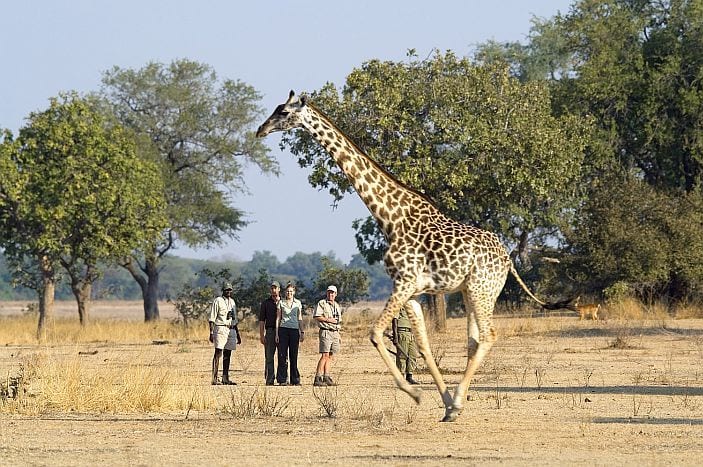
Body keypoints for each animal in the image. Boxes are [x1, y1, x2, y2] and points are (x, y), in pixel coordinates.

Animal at [256, 89, 576, 422]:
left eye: (282, 112)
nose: (260, 130)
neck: (390, 217)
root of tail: (508, 260)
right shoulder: (411, 290)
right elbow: (421, 343)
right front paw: (444, 403)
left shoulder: (405, 282)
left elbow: (375, 333)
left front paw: (417, 394)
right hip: (471, 290)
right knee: (474, 340)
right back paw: (457, 402)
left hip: (482, 289)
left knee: (488, 335)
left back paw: (459, 399)